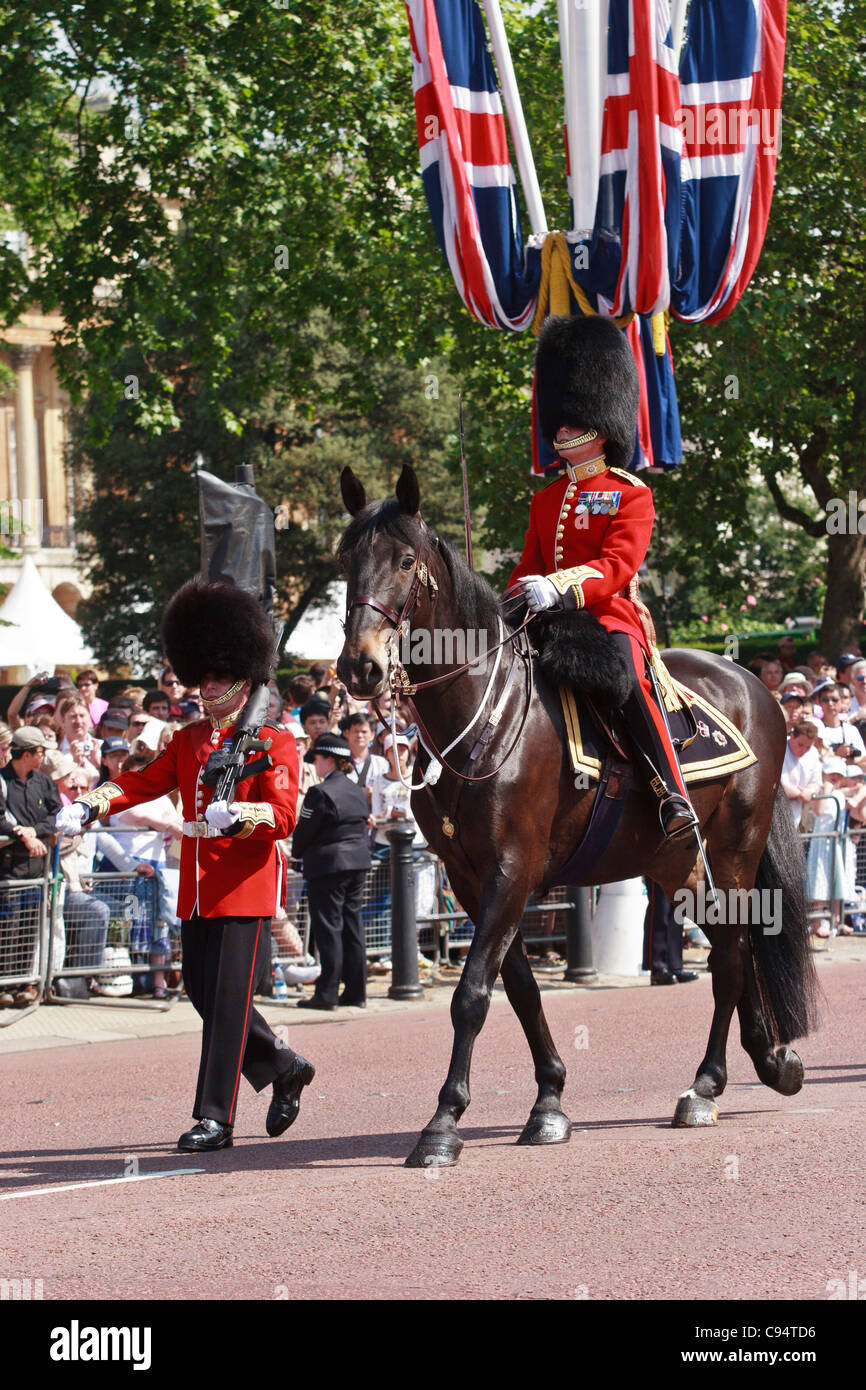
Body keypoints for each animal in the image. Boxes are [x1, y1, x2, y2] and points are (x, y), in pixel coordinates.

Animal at [335, 464, 817, 1162]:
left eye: (404, 560)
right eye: (344, 561)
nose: (360, 667)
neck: (482, 713)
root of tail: (754, 682)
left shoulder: (513, 869)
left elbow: (471, 995)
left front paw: (444, 1123)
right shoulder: (471, 879)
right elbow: (519, 988)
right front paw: (549, 1101)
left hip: (733, 852)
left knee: (730, 959)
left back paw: (706, 1086)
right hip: (680, 865)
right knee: (736, 946)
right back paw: (765, 1061)